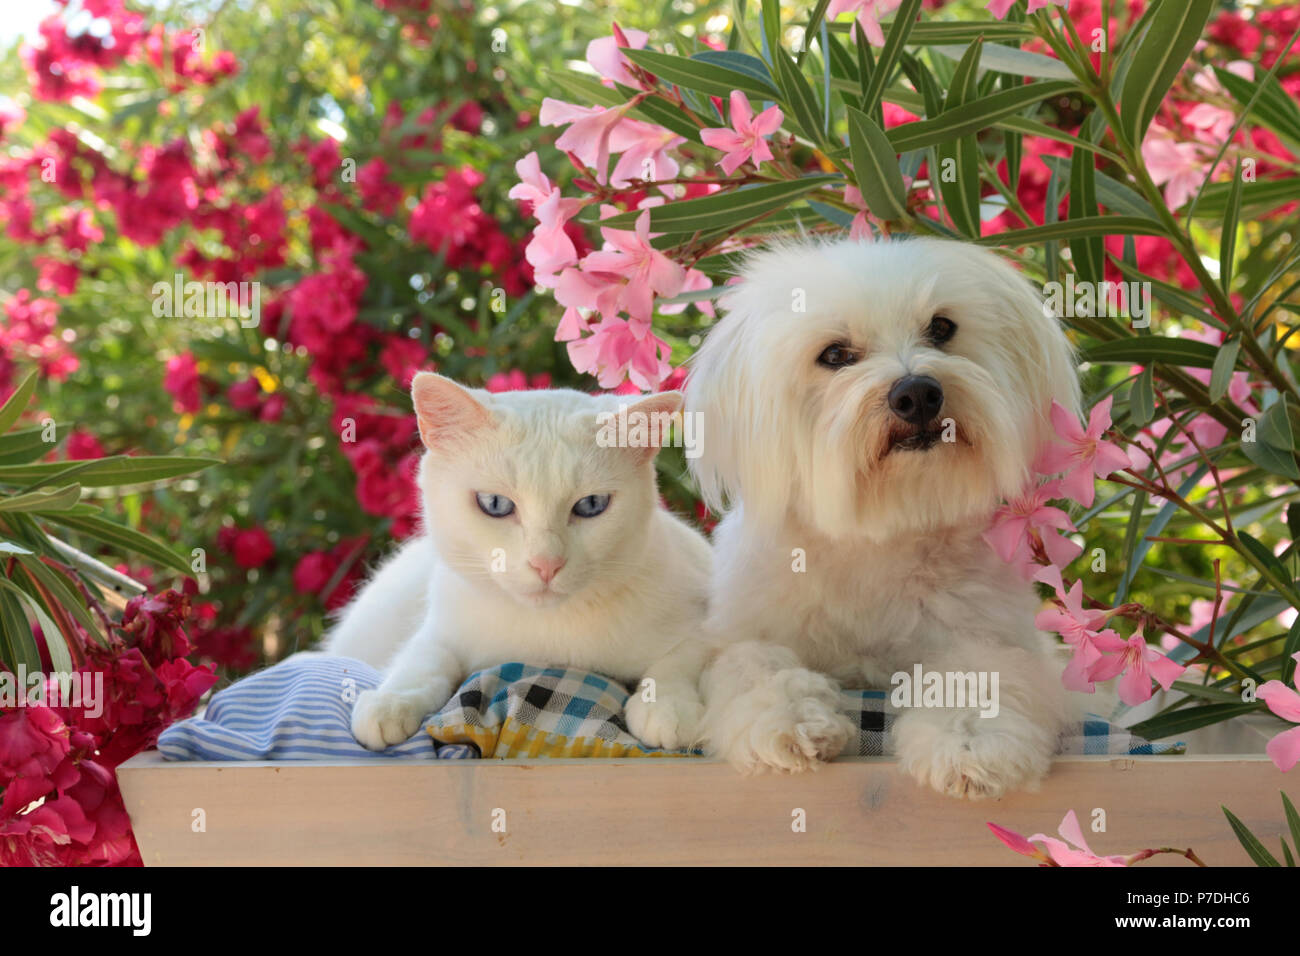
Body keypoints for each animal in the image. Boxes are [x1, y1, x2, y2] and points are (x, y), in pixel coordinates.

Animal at [325, 374, 712, 754]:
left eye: (591, 505)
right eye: (495, 504)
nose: (546, 564)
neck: (546, 633)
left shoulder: (703, 610)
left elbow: (681, 658)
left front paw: (667, 707)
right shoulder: (441, 627)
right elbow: (422, 659)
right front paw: (390, 701)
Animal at [696, 239, 1081, 801]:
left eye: (941, 327)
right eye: (834, 354)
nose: (917, 393)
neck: (881, 533)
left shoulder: (988, 635)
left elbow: (978, 675)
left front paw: (973, 744)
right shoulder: (747, 629)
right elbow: (754, 664)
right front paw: (789, 723)